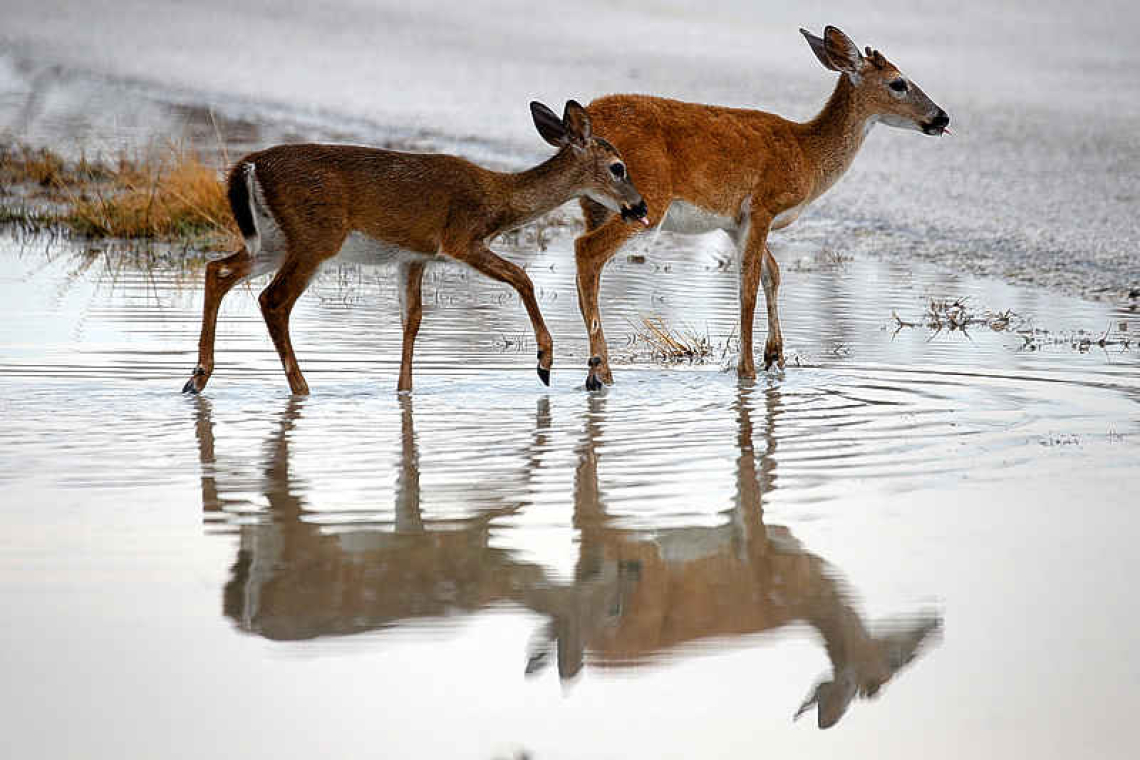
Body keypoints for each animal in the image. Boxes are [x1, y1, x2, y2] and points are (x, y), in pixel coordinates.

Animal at [184, 99, 652, 398]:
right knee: (273, 300)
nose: (641, 206)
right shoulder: (460, 238)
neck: (497, 197)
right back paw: (301, 389)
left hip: (273, 242)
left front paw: (404, 392)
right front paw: (543, 362)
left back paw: (197, 378)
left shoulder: (414, 256)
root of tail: (248, 165)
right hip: (316, 237)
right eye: (618, 167)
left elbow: (412, 319)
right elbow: (522, 277)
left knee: (217, 269)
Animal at [574, 26, 948, 389]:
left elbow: (773, 273)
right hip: (646, 199)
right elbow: (749, 284)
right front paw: (748, 372)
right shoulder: (763, 206)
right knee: (586, 250)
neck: (808, 156)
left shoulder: (734, 221)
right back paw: (601, 374)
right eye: (898, 82)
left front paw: (775, 356)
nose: (942, 116)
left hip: (594, 205)